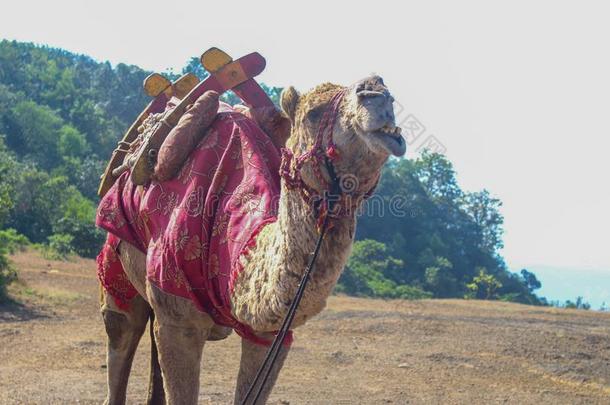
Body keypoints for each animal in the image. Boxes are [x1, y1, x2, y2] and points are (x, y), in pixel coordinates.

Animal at [98, 74, 404, 402]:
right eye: (313, 113)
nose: (376, 91)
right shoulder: (178, 318)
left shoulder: (271, 335)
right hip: (116, 261)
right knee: (121, 329)